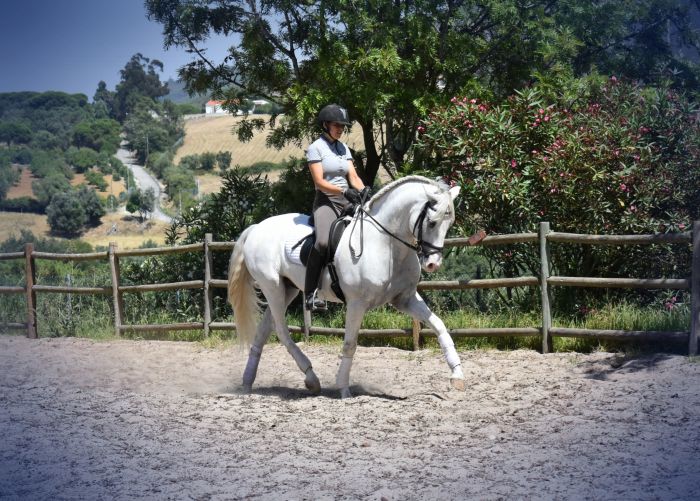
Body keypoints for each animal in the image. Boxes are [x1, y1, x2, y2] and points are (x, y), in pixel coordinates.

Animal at [228, 174, 464, 396]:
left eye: (449, 223)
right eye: (431, 222)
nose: (433, 263)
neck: (385, 243)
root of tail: (256, 228)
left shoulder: (405, 299)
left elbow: (439, 325)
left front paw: (457, 374)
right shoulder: (356, 303)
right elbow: (350, 344)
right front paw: (343, 388)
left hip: (288, 289)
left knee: (264, 330)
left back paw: (248, 382)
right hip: (272, 286)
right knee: (281, 331)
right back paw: (311, 378)